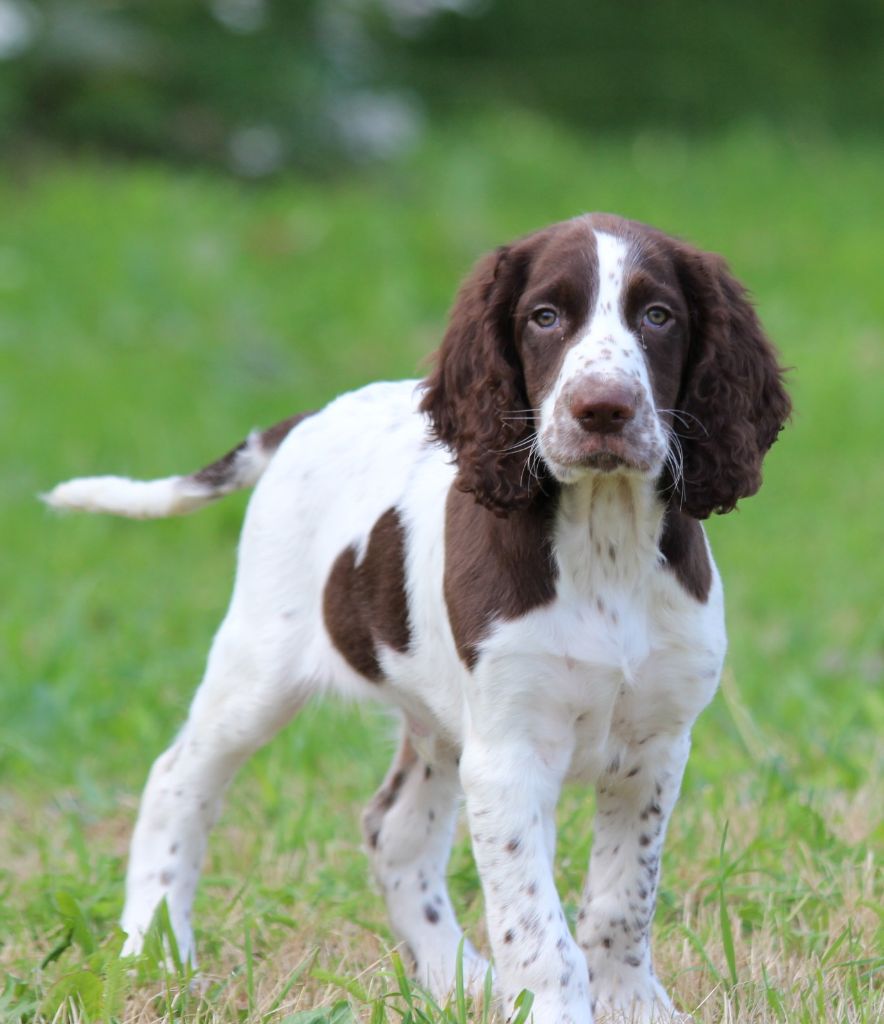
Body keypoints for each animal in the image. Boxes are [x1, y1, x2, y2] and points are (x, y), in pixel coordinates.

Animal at [45, 211, 790, 1019]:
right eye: (545, 317)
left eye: (658, 316)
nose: (602, 409)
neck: (605, 539)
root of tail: (311, 417)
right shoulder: (508, 753)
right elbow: (539, 930)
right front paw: (556, 1007)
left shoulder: (655, 746)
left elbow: (622, 902)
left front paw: (633, 1005)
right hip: (258, 671)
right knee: (176, 780)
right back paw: (153, 947)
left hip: (437, 718)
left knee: (393, 833)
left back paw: (456, 980)